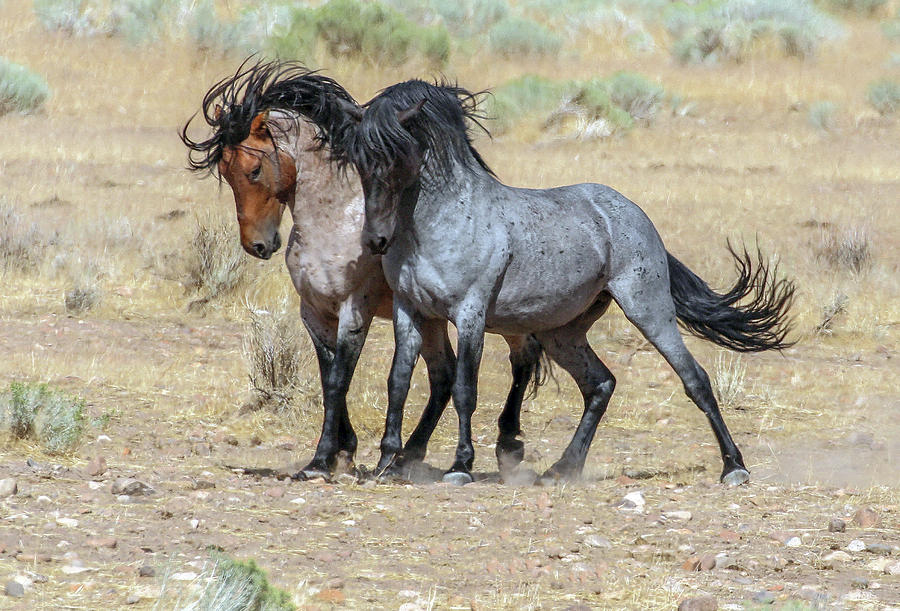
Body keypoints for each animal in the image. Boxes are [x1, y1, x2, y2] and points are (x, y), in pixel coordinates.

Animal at [176, 63, 540, 482]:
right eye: (224, 170)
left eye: (253, 170)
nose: (258, 245)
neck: (334, 222)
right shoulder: (314, 312)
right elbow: (329, 378)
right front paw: (344, 451)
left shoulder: (355, 310)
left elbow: (338, 379)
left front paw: (321, 461)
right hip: (431, 319)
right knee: (444, 374)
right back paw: (410, 453)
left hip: (499, 317)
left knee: (522, 357)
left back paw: (508, 444)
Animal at [340, 79, 796, 488]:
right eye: (360, 161)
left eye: (398, 158)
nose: (375, 240)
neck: (441, 222)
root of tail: (633, 213)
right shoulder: (410, 310)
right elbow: (398, 381)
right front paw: (387, 464)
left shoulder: (469, 313)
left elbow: (465, 389)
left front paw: (460, 467)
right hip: (562, 333)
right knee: (601, 384)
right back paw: (562, 469)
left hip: (648, 309)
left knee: (694, 379)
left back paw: (734, 467)